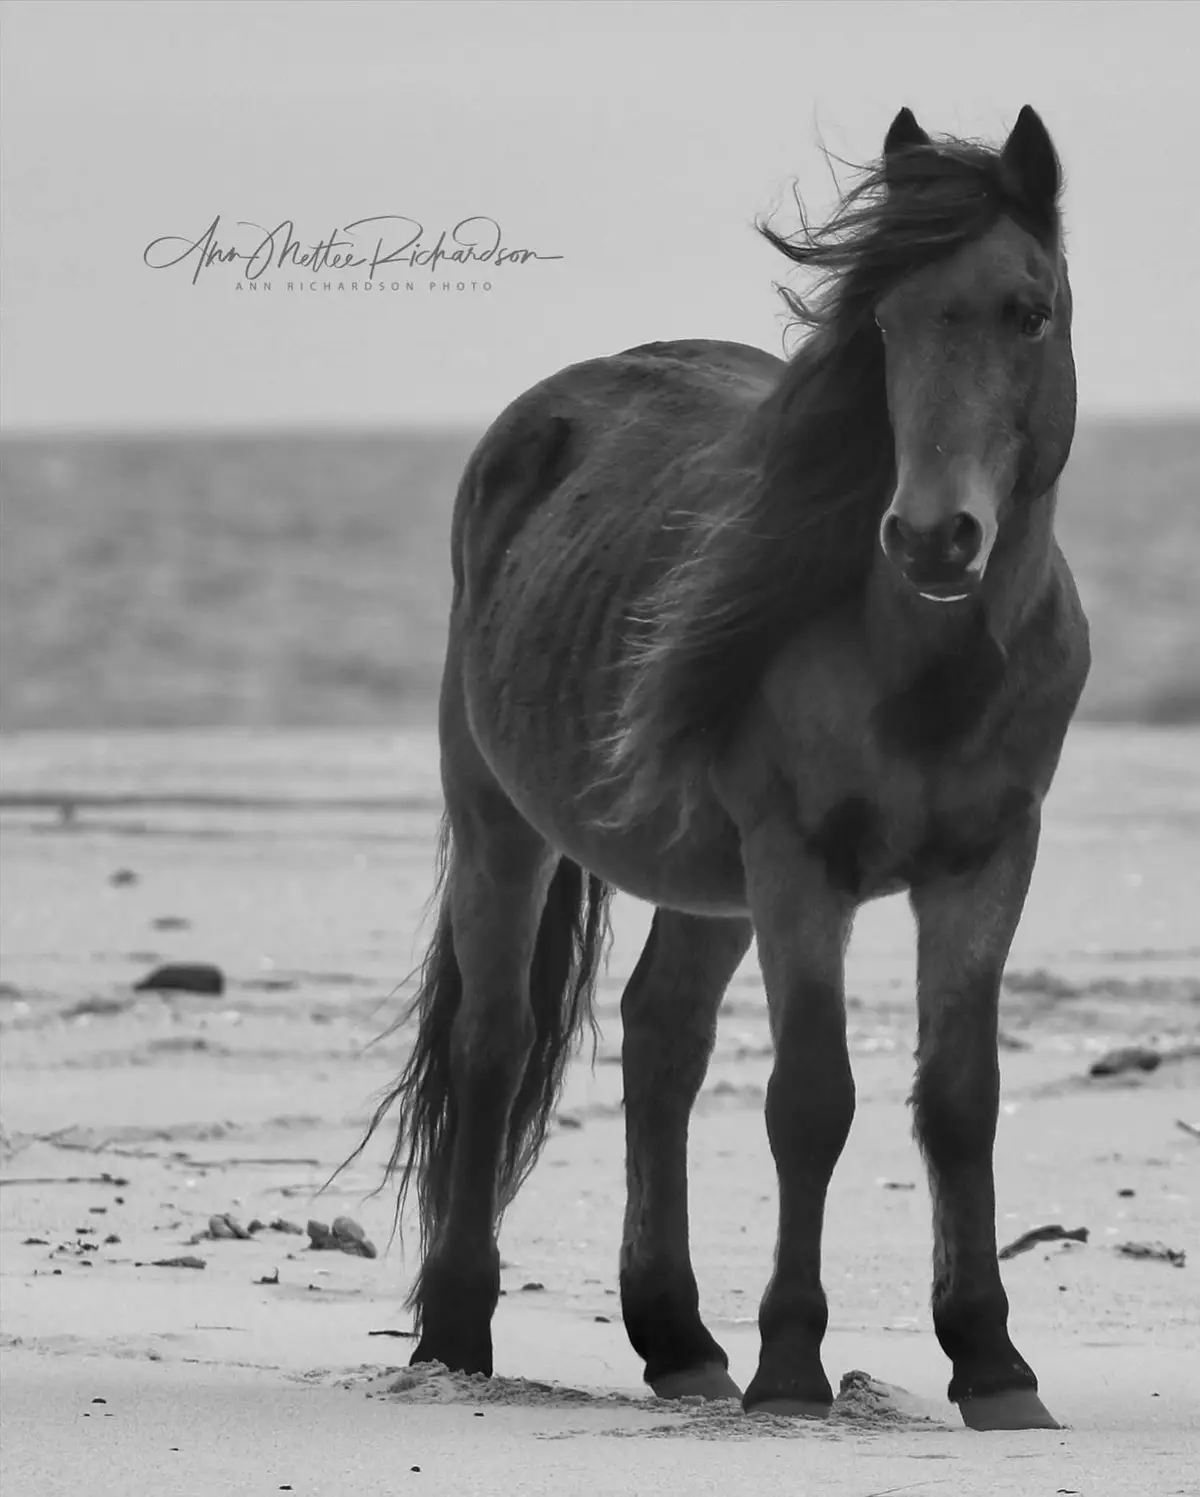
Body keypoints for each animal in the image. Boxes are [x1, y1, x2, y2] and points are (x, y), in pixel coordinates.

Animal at [356, 104, 1089, 1432]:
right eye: (885, 325)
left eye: (1028, 312)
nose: (932, 538)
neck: (927, 660)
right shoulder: (800, 865)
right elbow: (812, 1101)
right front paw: (792, 1365)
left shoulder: (989, 862)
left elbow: (961, 1103)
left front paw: (996, 1367)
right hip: (502, 825)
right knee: (495, 1044)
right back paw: (456, 1335)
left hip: (712, 888)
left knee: (662, 1042)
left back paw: (679, 1339)